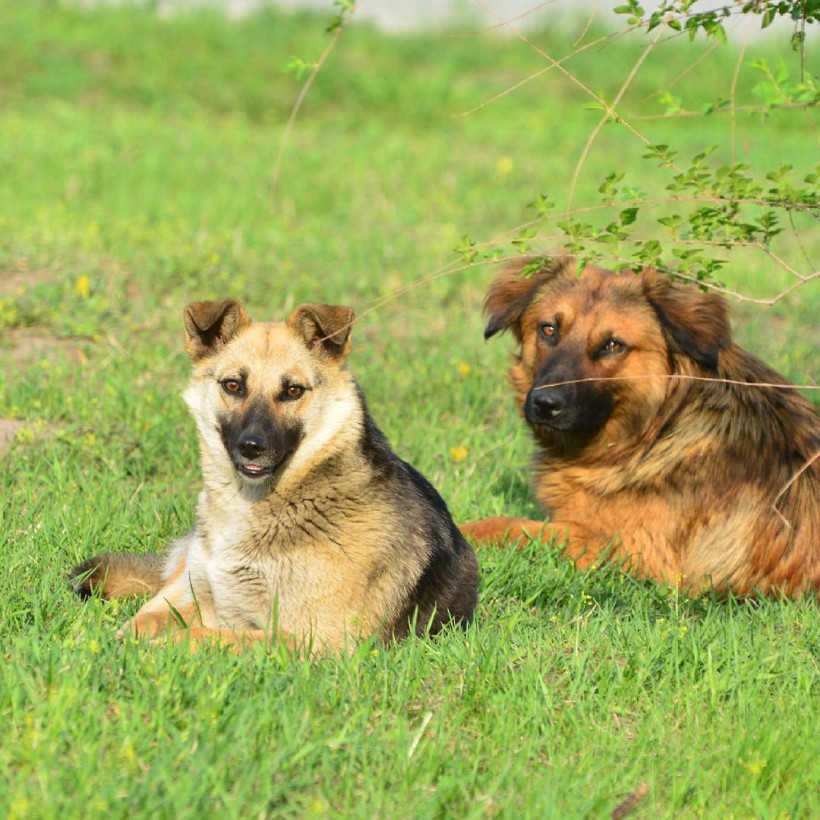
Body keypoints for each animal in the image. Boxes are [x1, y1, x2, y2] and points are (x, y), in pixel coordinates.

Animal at [71, 299, 479, 651]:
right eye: (233, 385)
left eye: (293, 390)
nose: (252, 447)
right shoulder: (192, 594)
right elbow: (140, 623)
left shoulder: (310, 641)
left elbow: (205, 636)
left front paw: (160, 649)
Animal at [461, 257, 820, 597]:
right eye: (548, 329)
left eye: (613, 345)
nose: (545, 404)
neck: (658, 427)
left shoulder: (635, 551)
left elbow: (504, 526)